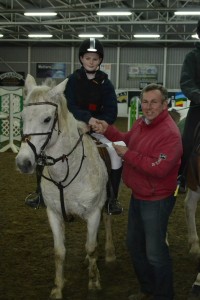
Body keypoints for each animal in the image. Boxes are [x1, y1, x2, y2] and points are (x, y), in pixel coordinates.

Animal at [15, 74, 115, 298]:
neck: (65, 174)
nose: (23, 163)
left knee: (106, 221)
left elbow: (91, 247)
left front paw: (94, 283)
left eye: (46, 119)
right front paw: (58, 288)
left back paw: (109, 254)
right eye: (23, 117)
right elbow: (59, 252)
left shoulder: (93, 213)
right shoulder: (53, 213)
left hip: (105, 205)